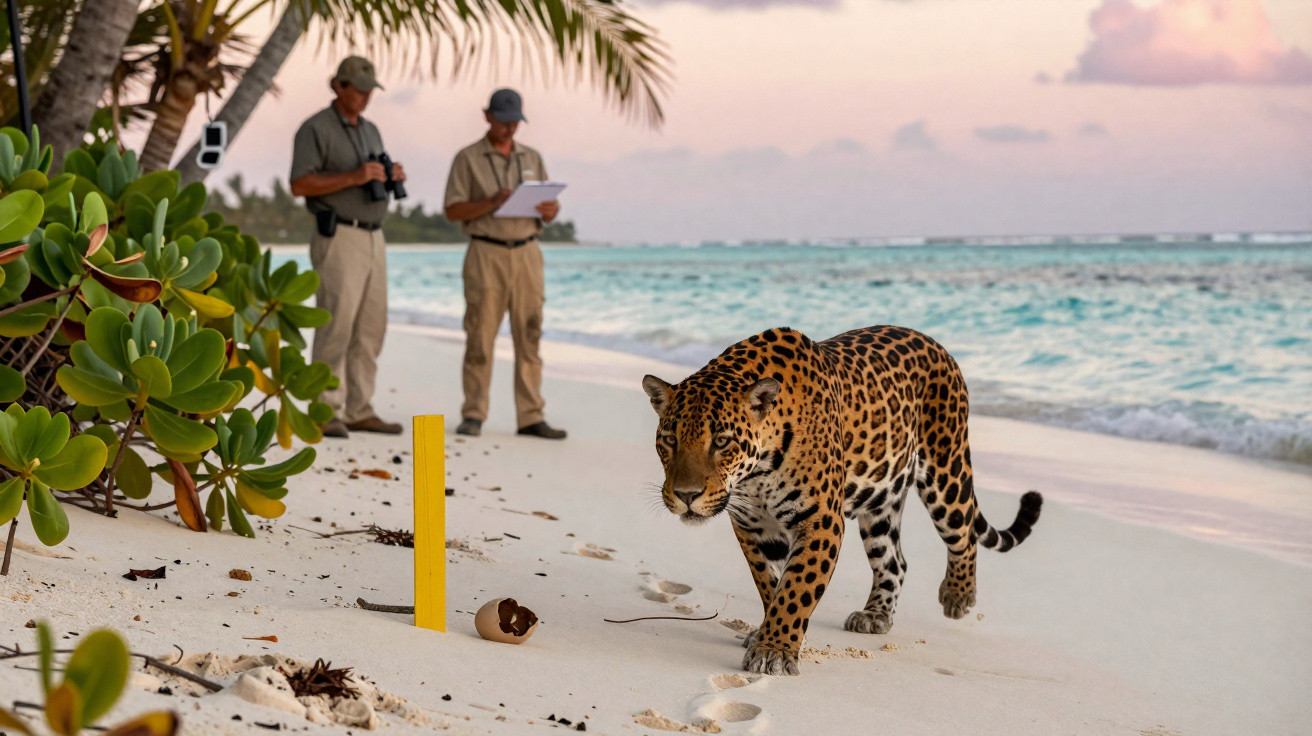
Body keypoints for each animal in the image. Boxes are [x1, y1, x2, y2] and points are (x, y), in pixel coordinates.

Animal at [641, 325, 1043, 676]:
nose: (686, 496)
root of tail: (936, 344)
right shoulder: (751, 525)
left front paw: (774, 651)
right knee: (895, 561)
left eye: (722, 441)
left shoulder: (821, 521)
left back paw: (958, 594)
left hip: (947, 472)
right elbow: (771, 584)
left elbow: (796, 589)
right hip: (880, 503)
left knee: (964, 532)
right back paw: (875, 615)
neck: (755, 475)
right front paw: (769, 635)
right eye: (669, 440)